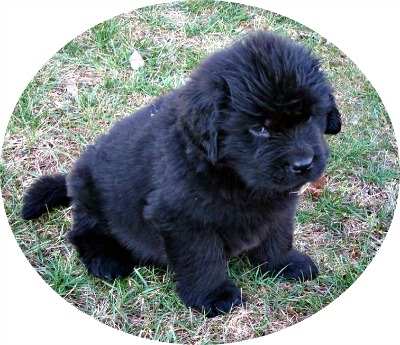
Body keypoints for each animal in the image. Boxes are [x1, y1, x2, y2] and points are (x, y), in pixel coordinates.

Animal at [21, 31, 340, 314]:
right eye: (260, 128)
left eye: (310, 116)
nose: (303, 164)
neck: (229, 175)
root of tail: (71, 178)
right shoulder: (183, 219)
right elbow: (202, 258)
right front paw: (214, 296)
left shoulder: (277, 206)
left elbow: (277, 235)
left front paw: (284, 263)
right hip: (94, 199)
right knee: (82, 232)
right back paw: (106, 260)